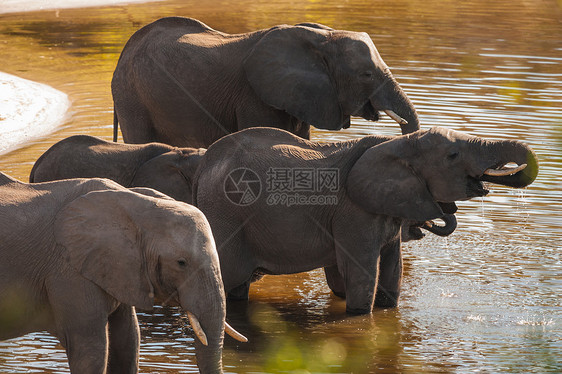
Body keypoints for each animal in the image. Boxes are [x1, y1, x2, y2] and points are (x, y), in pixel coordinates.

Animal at [0, 174, 245, 374]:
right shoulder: (69, 271)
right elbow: (90, 349)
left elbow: (127, 341)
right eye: (181, 263)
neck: (132, 201)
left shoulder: (120, 268)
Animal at [194, 127, 540, 314]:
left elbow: (392, 270)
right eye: (453, 156)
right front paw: (360, 315)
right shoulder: (354, 212)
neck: (396, 143)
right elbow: (362, 276)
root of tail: (204, 164)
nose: (441, 214)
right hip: (226, 217)